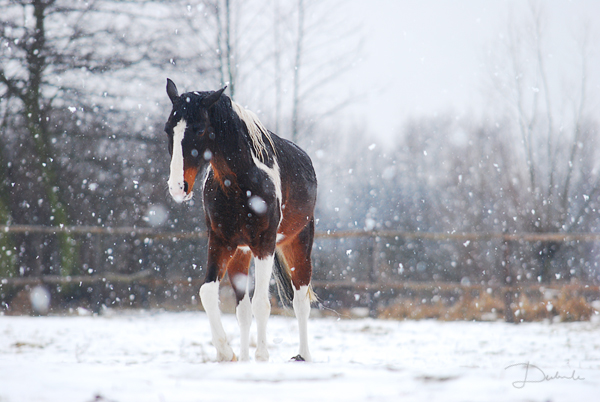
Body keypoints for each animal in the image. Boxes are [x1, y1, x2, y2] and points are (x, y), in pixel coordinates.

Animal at [162, 77, 316, 362]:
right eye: (169, 130)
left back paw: (302, 355)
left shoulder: (265, 245)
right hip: (241, 253)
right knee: (243, 310)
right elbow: (208, 293)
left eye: (199, 129)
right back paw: (244, 356)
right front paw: (227, 353)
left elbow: (262, 303)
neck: (239, 184)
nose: (178, 187)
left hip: (298, 245)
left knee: (300, 301)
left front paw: (262, 356)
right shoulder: (220, 241)